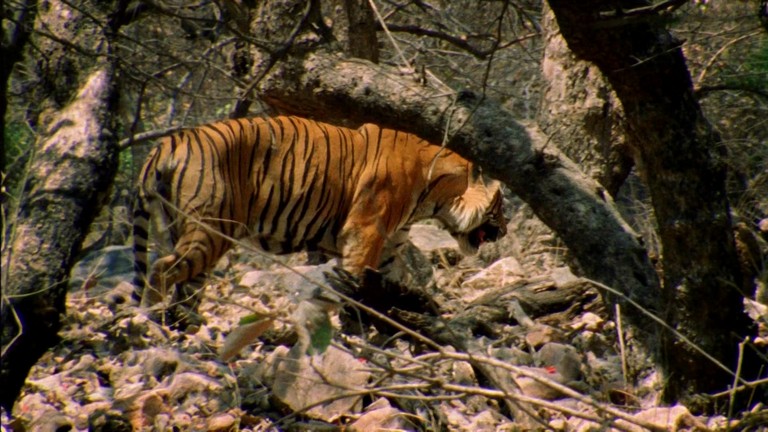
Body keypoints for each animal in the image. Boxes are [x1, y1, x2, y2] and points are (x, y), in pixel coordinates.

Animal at [132, 115, 506, 313]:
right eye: (500, 208)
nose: (504, 231)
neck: (437, 196)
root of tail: (170, 141)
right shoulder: (364, 231)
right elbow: (353, 281)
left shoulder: (386, 247)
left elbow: (392, 283)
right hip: (210, 229)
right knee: (161, 271)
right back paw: (151, 323)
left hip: (183, 233)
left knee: (185, 286)